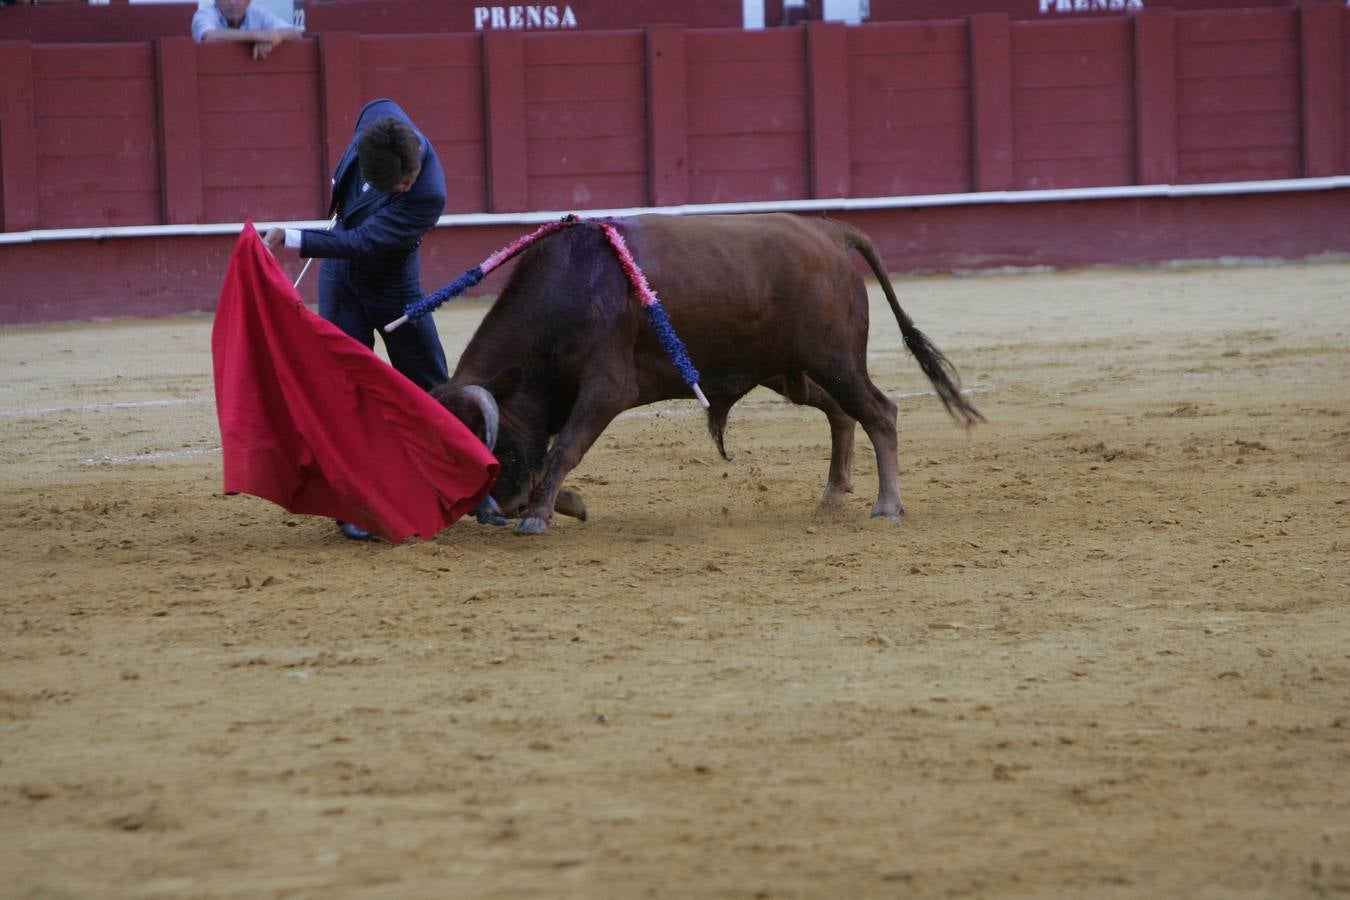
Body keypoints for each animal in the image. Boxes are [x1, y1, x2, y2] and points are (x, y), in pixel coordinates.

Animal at [432, 211, 982, 534]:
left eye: (487, 442)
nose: (494, 510)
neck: (567, 289)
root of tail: (827, 232)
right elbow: (554, 454)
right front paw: (563, 502)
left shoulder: (606, 389)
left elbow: (564, 447)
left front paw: (538, 515)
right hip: (792, 370)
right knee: (842, 413)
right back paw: (831, 496)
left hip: (836, 360)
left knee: (880, 413)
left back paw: (887, 506)